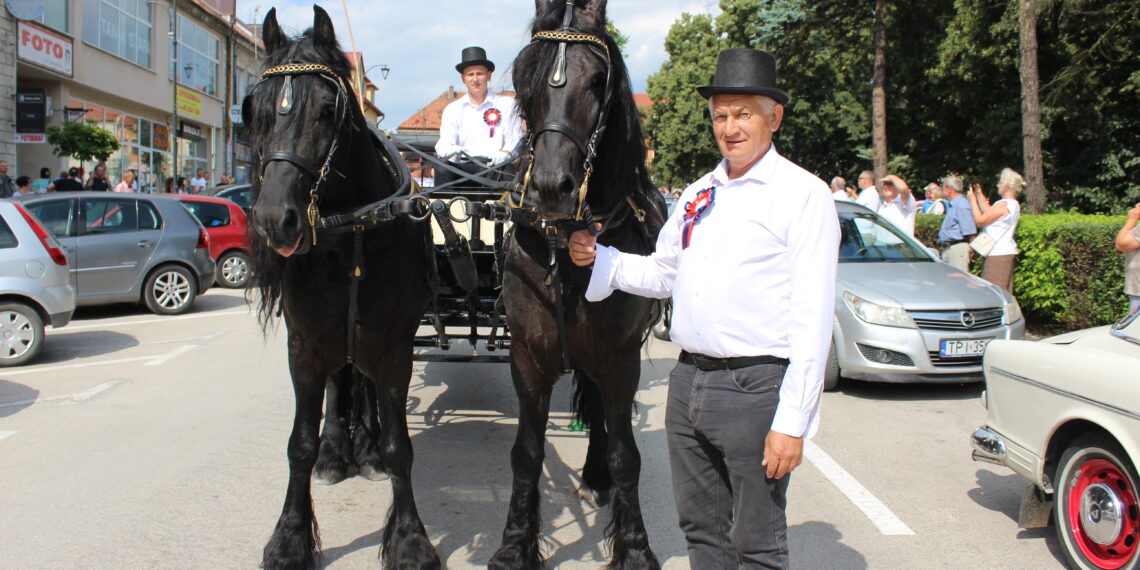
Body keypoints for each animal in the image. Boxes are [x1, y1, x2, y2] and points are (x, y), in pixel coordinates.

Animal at [246, 7, 440, 570]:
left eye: (329, 108)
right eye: (254, 110)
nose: (275, 220)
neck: (351, 228)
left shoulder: (394, 344)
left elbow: (400, 446)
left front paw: (409, 539)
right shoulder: (304, 345)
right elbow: (299, 444)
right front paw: (289, 538)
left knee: (366, 386)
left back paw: (366, 449)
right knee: (342, 382)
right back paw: (338, 450)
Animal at [490, 2, 665, 567]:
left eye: (596, 80)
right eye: (524, 78)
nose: (550, 188)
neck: (566, 247)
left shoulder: (620, 358)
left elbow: (626, 454)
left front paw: (634, 547)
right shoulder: (527, 356)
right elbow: (526, 453)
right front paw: (514, 544)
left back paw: (594, 475)